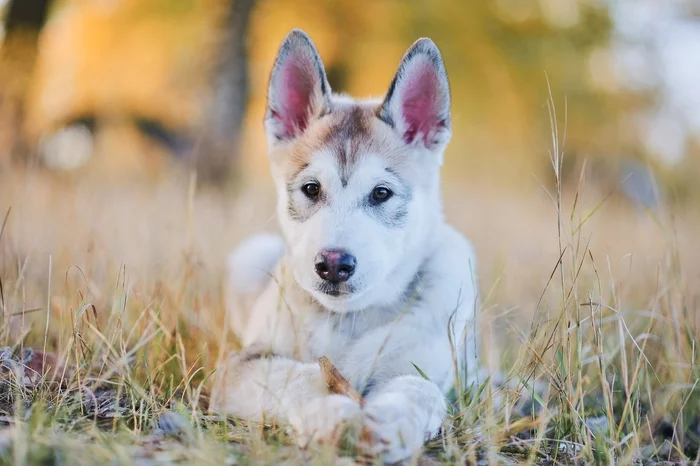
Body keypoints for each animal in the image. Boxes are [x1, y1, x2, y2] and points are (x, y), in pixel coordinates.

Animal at [209, 28, 482, 462]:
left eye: (381, 193)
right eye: (311, 188)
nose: (333, 264)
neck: (347, 320)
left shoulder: (422, 367)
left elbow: (419, 389)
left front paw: (391, 423)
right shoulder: (240, 365)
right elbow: (300, 374)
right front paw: (330, 413)